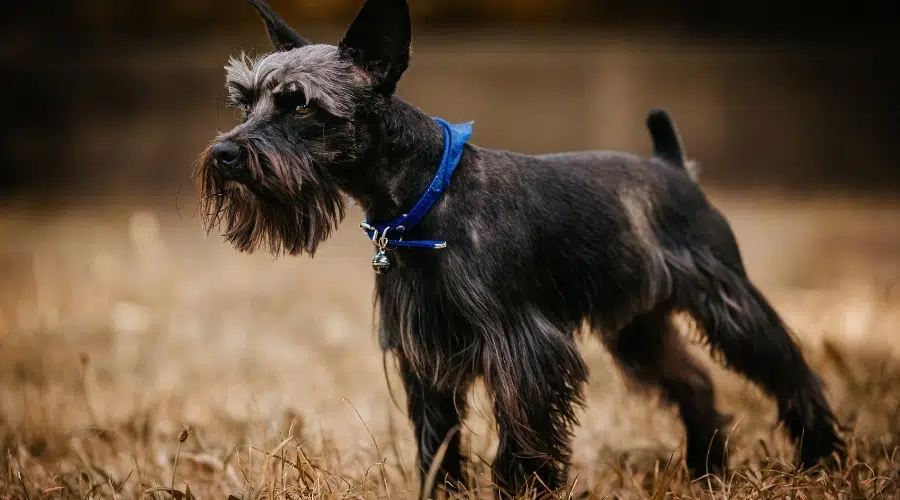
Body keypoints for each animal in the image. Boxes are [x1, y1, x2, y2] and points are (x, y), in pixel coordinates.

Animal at [193, 0, 848, 496]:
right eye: (244, 100)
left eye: (299, 103)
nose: (224, 154)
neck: (425, 195)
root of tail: (672, 166)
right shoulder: (426, 355)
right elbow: (437, 442)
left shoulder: (523, 350)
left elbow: (520, 438)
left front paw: (521, 486)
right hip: (637, 328)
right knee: (695, 383)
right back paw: (707, 469)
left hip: (728, 303)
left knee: (790, 371)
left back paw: (820, 456)